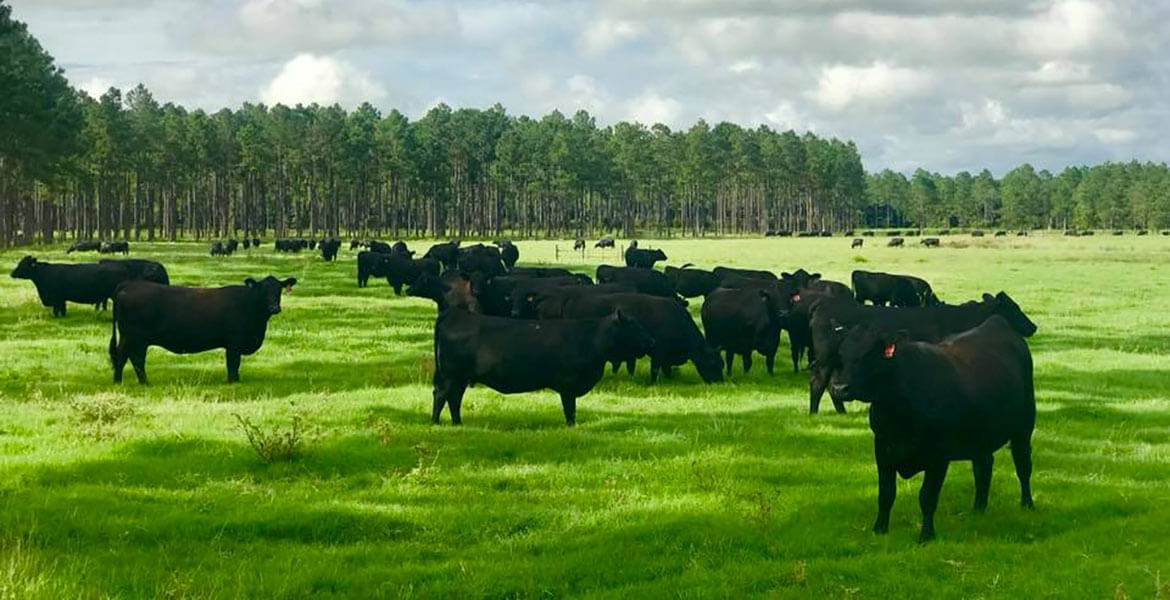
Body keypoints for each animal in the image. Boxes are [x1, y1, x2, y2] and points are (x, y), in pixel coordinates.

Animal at [110, 276, 297, 383]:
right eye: (263, 290)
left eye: (279, 289)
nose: (274, 308)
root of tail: (128, 284)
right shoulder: (234, 343)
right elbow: (233, 363)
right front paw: (233, 381)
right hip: (134, 337)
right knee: (129, 358)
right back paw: (130, 382)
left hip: (133, 338)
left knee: (128, 357)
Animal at [430, 306, 655, 423]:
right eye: (633, 325)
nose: (651, 341)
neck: (590, 338)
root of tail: (454, 314)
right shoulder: (568, 384)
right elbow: (570, 410)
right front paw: (571, 426)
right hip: (451, 376)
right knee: (442, 395)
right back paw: (436, 422)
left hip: (459, 378)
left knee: (454, 398)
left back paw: (457, 423)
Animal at [554, 291, 725, 383]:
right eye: (713, 363)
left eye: (721, 364)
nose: (719, 382)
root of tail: (572, 300)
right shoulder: (658, 353)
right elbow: (655, 369)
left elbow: (666, 369)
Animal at [804, 288, 1034, 411]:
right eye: (1015, 308)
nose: (1033, 327)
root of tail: (822, 304)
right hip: (825, 358)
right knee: (818, 383)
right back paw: (814, 413)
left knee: (832, 386)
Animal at [833, 315, 1034, 540]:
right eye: (841, 353)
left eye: (869, 354)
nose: (840, 388)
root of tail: (996, 322)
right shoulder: (883, 447)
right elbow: (886, 493)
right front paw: (880, 529)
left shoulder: (938, 454)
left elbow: (927, 497)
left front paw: (926, 535)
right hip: (980, 438)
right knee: (983, 467)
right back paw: (978, 509)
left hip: (1024, 428)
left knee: (1023, 467)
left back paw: (1027, 505)